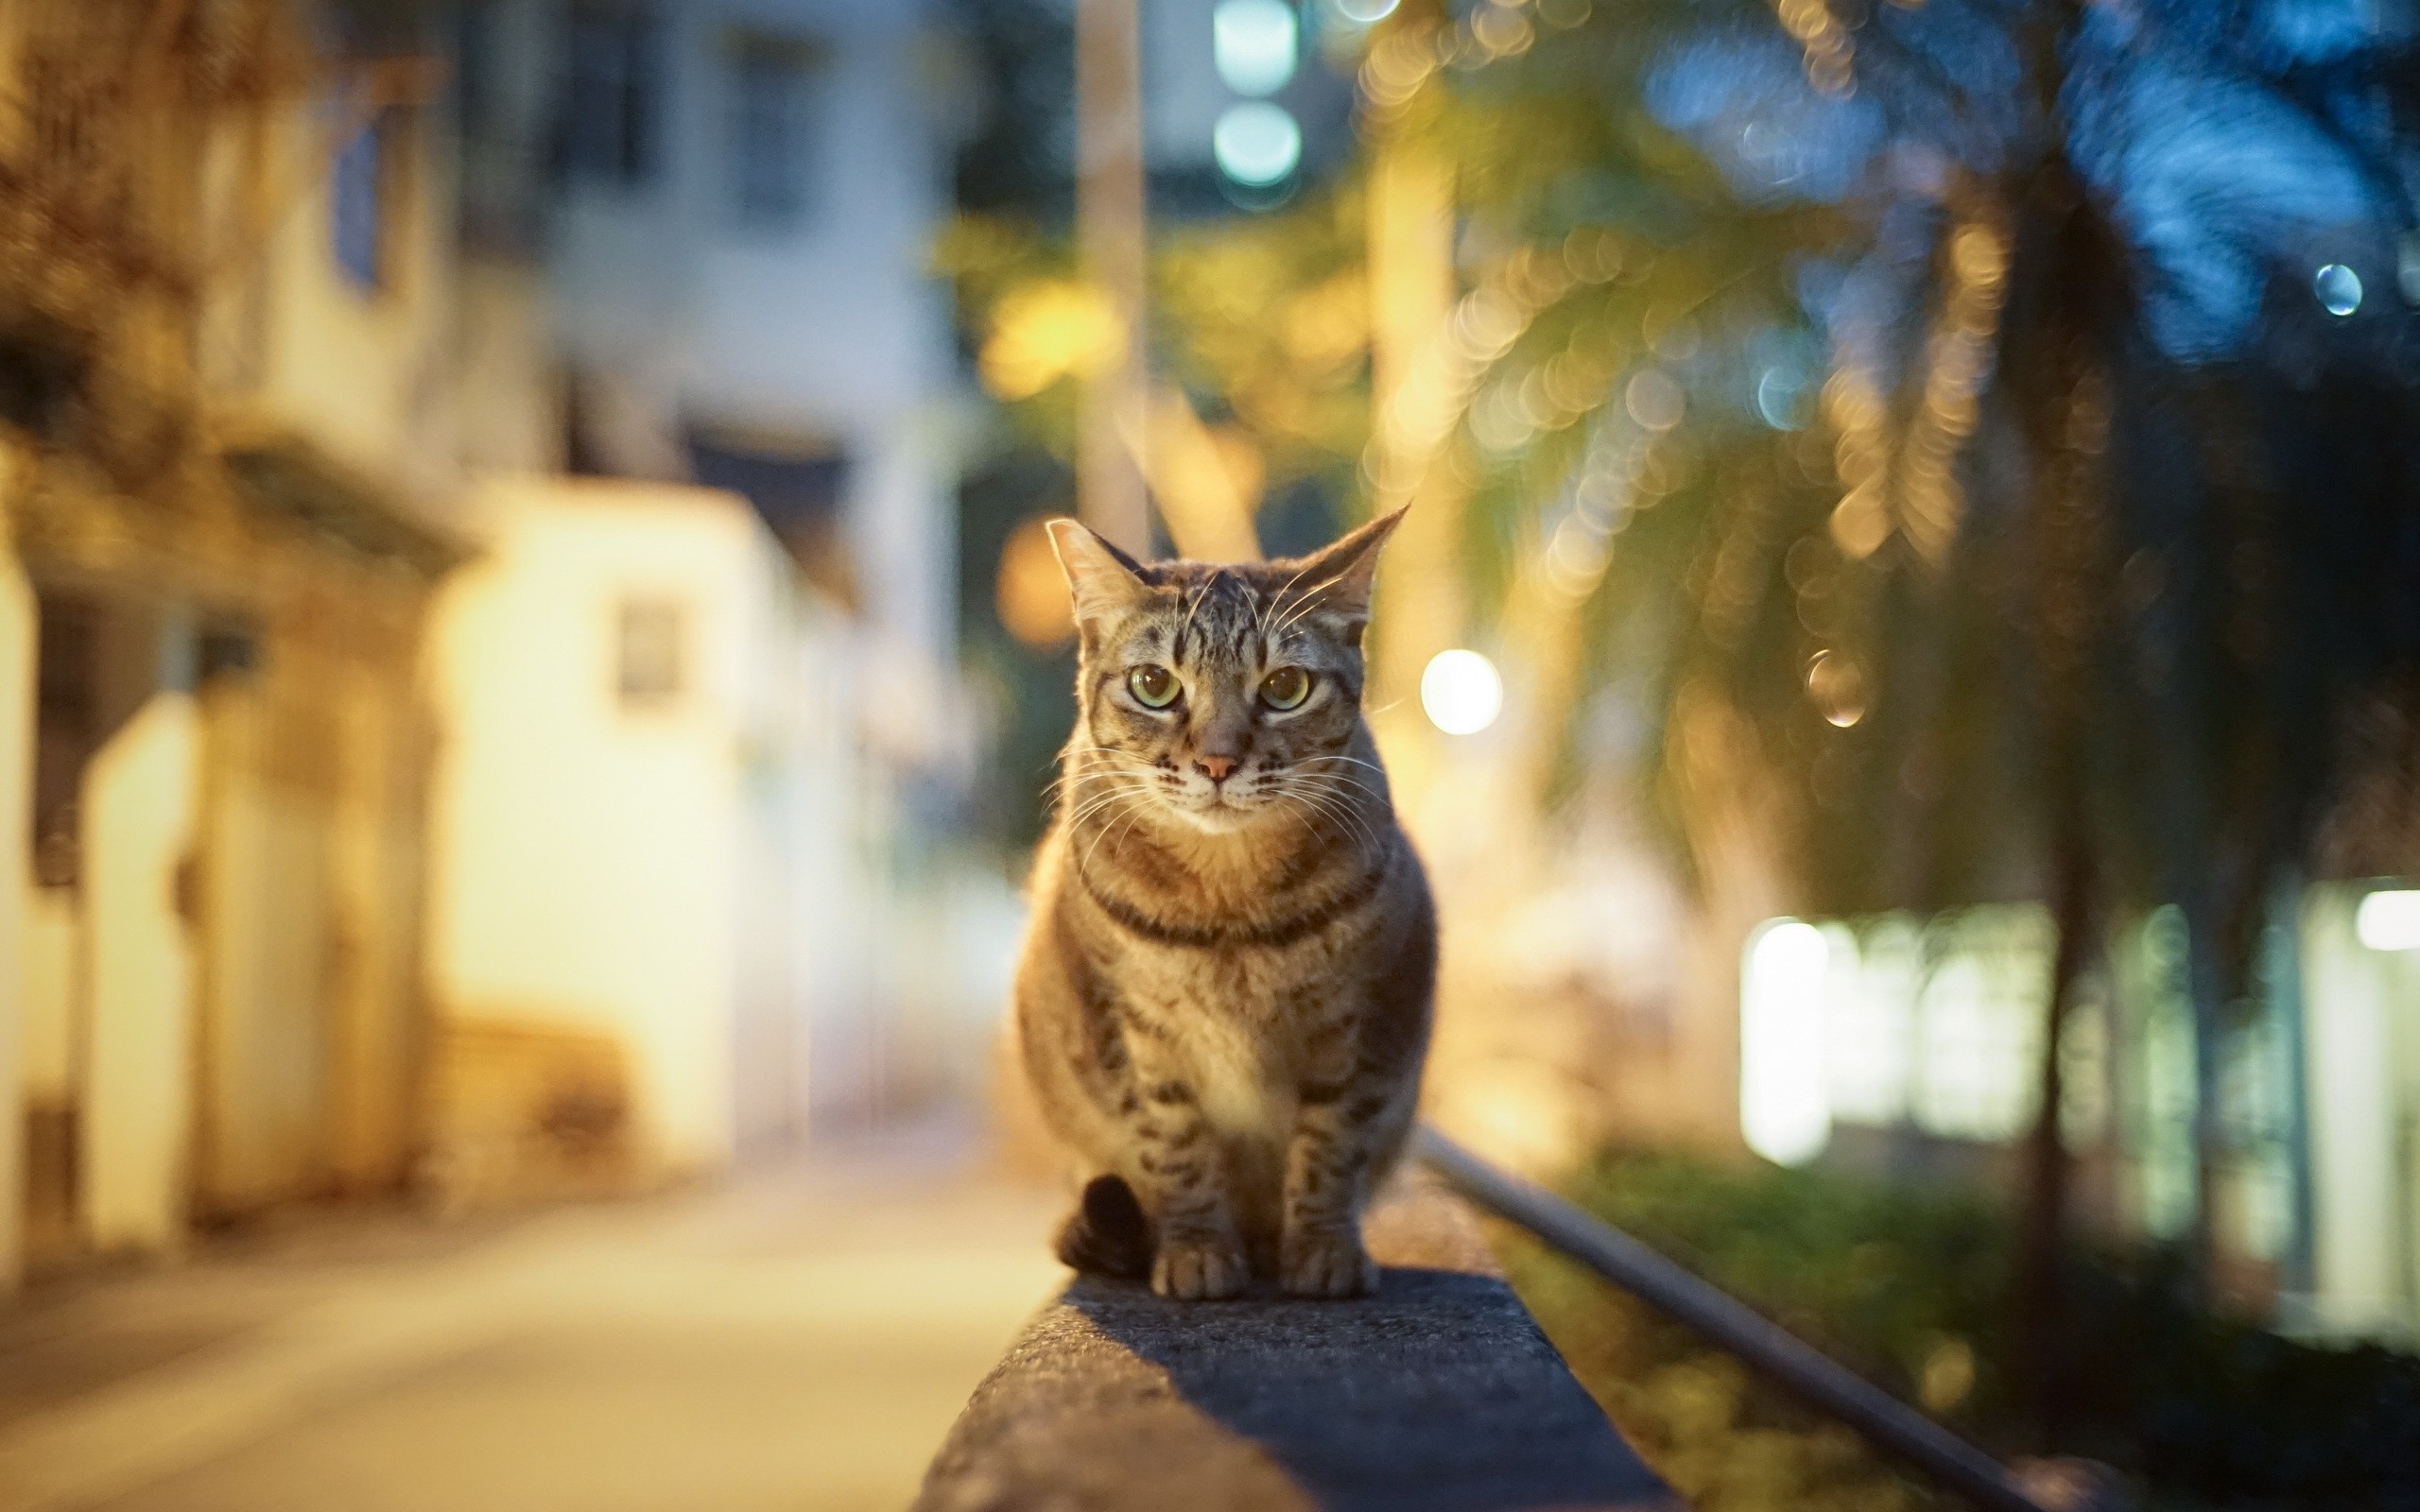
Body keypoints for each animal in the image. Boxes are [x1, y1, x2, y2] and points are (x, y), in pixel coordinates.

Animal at [1006, 515, 1423, 1297]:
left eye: (1286, 687)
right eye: (1154, 685)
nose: (1219, 762)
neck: (1229, 911)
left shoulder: (1364, 1020)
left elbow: (1331, 1144)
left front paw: (1323, 1247)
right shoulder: (1133, 1035)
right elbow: (1177, 1150)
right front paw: (1197, 1250)